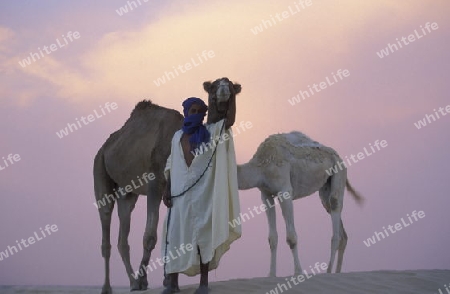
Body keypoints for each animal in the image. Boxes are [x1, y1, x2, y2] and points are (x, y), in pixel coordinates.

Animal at [237, 131, 364, 276]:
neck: (260, 166)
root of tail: (339, 157)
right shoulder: (266, 194)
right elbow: (272, 238)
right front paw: (271, 274)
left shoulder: (285, 191)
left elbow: (291, 237)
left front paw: (298, 272)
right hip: (325, 188)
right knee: (339, 226)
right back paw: (336, 272)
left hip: (339, 173)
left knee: (335, 206)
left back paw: (328, 271)